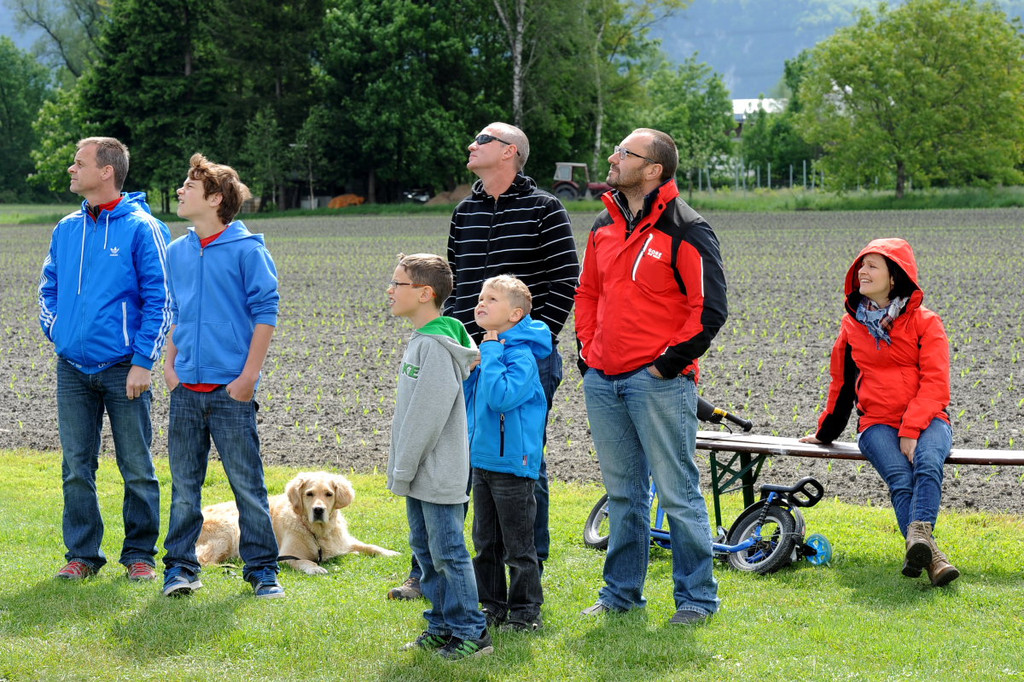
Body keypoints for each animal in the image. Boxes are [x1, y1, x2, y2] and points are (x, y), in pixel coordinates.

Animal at [195, 471, 399, 575]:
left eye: (329, 494)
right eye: (309, 494)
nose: (318, 510)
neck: (317, 531)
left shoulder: (342, 541)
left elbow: (370, 546)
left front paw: (390, 552)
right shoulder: (287, 554)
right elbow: (305, 561)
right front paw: (315, 568)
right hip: (230, 527)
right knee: (203, 560)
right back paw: (228, 567)